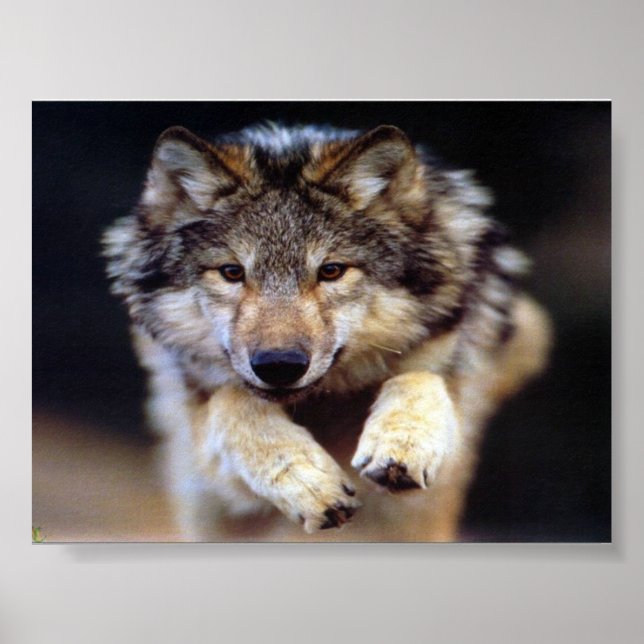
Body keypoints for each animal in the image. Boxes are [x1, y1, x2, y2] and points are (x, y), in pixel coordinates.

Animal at [103, 122, 551, 541]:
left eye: (331, 271)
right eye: (231, 272)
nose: (279, 365)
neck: (320, 404)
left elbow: (421, 376)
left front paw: (403, 443)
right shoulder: (209, 468)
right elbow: (233, 401)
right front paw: (306, 480)